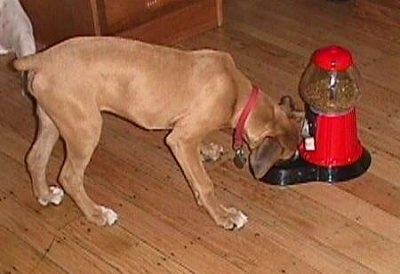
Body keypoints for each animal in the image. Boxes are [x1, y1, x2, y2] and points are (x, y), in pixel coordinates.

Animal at [14, 35, 302, 229]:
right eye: (289, 157)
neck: (237, 94)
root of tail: (42, 58)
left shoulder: (183, 130)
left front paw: (207, 150)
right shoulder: (181, 140)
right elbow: (204, 183)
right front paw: (224, 216)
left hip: (52, 121)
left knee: (35, 158)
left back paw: (45, 196)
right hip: (85, 130)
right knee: (70, 176)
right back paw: (98, 214)